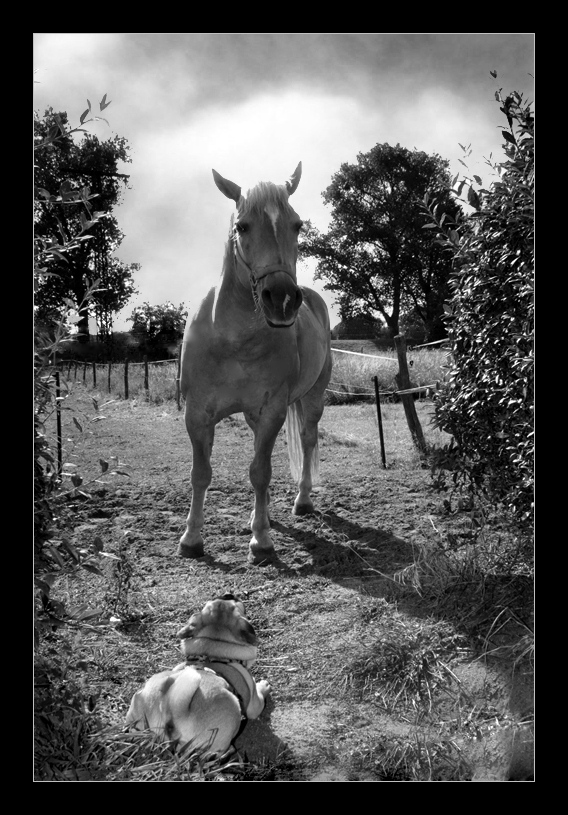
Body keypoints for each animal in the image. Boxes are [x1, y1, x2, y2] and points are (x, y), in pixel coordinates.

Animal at [125, 592, 272, 760]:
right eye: (234, 603)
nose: (228, 594)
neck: (212, 649)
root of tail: (171, 716)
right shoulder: (253, 701)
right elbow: (259, 696)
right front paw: (264, 686)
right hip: (229, 715)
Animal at [179, 163, 332, 564]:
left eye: (297, 225)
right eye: (243, 226)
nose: (282, 299)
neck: (235, 340)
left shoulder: (272, 411)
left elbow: (261, 472)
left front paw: (261, 540)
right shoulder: (197, 414)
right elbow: (201, 473)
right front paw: (191, 538)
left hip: (313, 397)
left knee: (308, 440)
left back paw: (301, 501)